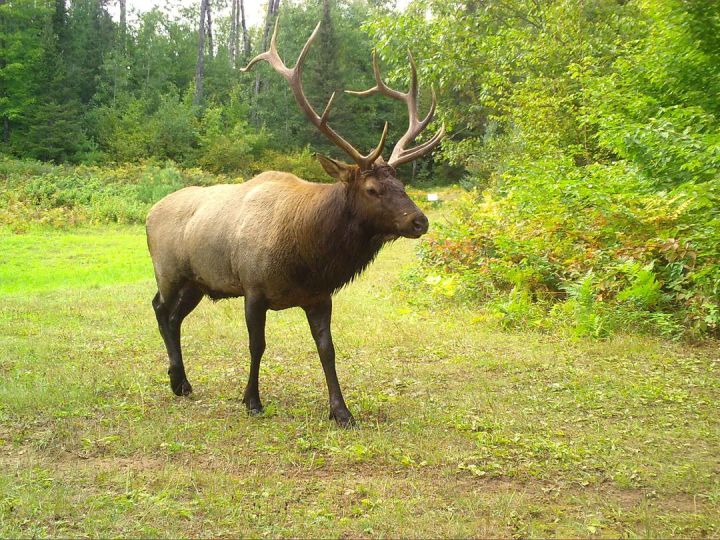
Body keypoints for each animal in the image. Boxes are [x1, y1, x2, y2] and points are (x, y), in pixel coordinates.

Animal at [146, 20, 444, 426]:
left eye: (402, 185)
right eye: (371, 189)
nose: (419, 220)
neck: (307, 256)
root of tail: (149, 213)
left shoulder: (319, 296)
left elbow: (327, 349)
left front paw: (341, 411)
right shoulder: (253, 288)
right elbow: (257, 345)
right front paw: (252, 400)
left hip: (198, 281)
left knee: (174, 316)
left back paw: (182, 381)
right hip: (170, 271)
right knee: (160, 308)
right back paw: (177, 379)